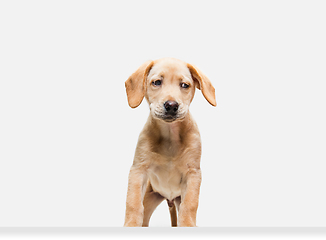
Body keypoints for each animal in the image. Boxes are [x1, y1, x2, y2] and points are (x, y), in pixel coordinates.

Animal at [123, 57, 215, 226]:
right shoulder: (138, 170)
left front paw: (188, 225)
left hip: (177, 199)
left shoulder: (193, 174)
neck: (170, 136)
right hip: (150, 197)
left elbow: (190, 205)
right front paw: (130, 225)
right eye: (157, 82)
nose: (171, 106)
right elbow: (133, 203)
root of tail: (169, 199)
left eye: (184, 85)